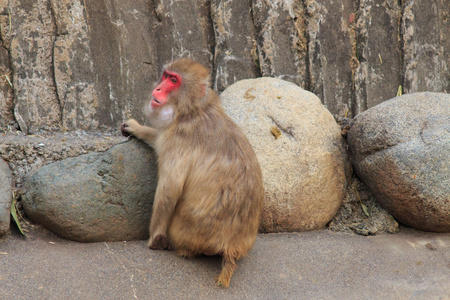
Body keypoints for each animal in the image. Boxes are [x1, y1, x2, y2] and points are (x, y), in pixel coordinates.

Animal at [121, 58, 266, 286]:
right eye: (166, 76)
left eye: (174, 81)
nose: (158, 88)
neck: (194, 109)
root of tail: (232, 247)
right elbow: (159, 138)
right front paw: (137, 128)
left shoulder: (179, 138)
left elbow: (169, 189)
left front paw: (156, 238)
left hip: (189, 233)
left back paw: (183, 250)